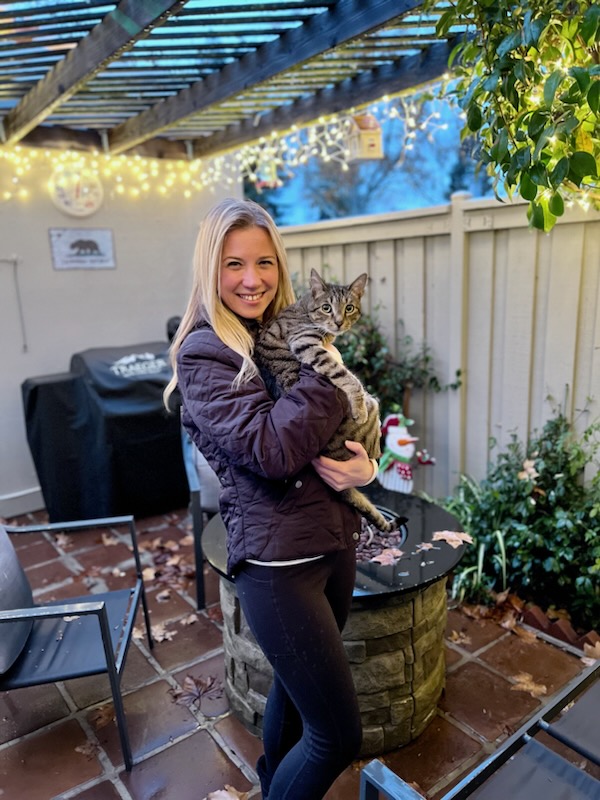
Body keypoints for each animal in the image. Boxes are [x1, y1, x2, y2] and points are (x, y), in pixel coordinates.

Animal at [254, 268, 397, 534]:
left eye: (349, 307)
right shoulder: (306, 342)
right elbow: (344, 375)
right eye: (327, 308)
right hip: (374, 409)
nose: (339, 322)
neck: (305, 308)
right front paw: (357, 404)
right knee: (374, 449)